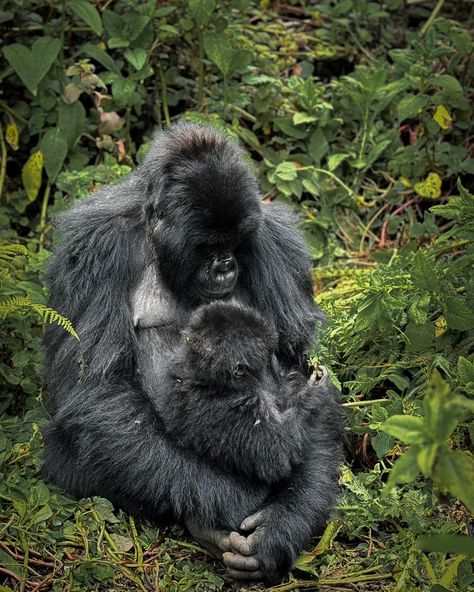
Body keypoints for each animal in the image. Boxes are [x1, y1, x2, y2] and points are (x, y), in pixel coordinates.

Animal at [146, 302, 320, 484]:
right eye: (268, 357)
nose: (275, 361)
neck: (208, 378)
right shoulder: (237, 408)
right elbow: (278, 454)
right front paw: (314, 394)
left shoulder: (176, 367)